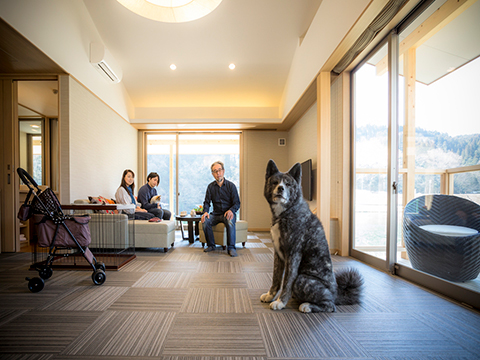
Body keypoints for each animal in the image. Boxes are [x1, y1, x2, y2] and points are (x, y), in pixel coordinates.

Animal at [260, 160, 362, 312]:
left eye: (288, 184)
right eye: (275, 182)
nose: (280, 189)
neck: (286, 213)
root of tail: (336, 294)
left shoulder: (293, 254)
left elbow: (287, 281)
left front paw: (280, 302)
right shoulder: (278, 254)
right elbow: (276, 278)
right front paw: (270, 295)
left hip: (302, 279)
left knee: (330, 306)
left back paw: (308, 305)